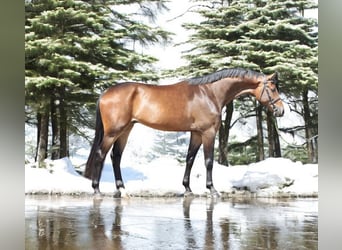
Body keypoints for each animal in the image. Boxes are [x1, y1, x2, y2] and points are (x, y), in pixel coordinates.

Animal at [84, 68, 284, 197]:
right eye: (272, 88)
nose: (281, 111)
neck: (210, 93)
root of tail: (105, 93)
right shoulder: (208, 133)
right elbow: (208, 161)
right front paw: (212, 189)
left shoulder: (196, 133)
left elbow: (190, 159)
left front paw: (188, 189)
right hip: (113, 132)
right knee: (101, 154)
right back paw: (97, 189)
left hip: (125, 130)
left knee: (115, 156)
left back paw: (121, 189)